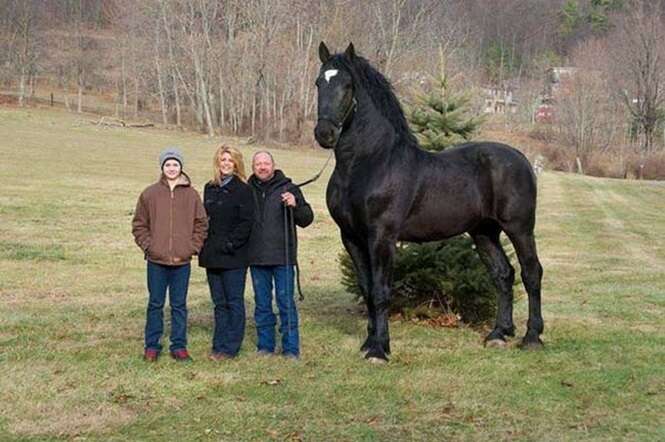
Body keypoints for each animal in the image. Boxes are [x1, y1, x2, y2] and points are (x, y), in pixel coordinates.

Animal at [314, 42, 544, 362]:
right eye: (319, 83)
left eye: (347, 85)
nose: (324, 134)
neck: (369, 163)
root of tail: (521, 158)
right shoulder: (351, 237)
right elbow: (367, 290)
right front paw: (369, 342)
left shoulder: (381, 237)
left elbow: (381, 291)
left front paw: (379, 349)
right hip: (484, 232)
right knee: (503, 274)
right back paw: (499, 334)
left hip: (519, 228)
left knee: (531, 272)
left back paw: (532, 336)